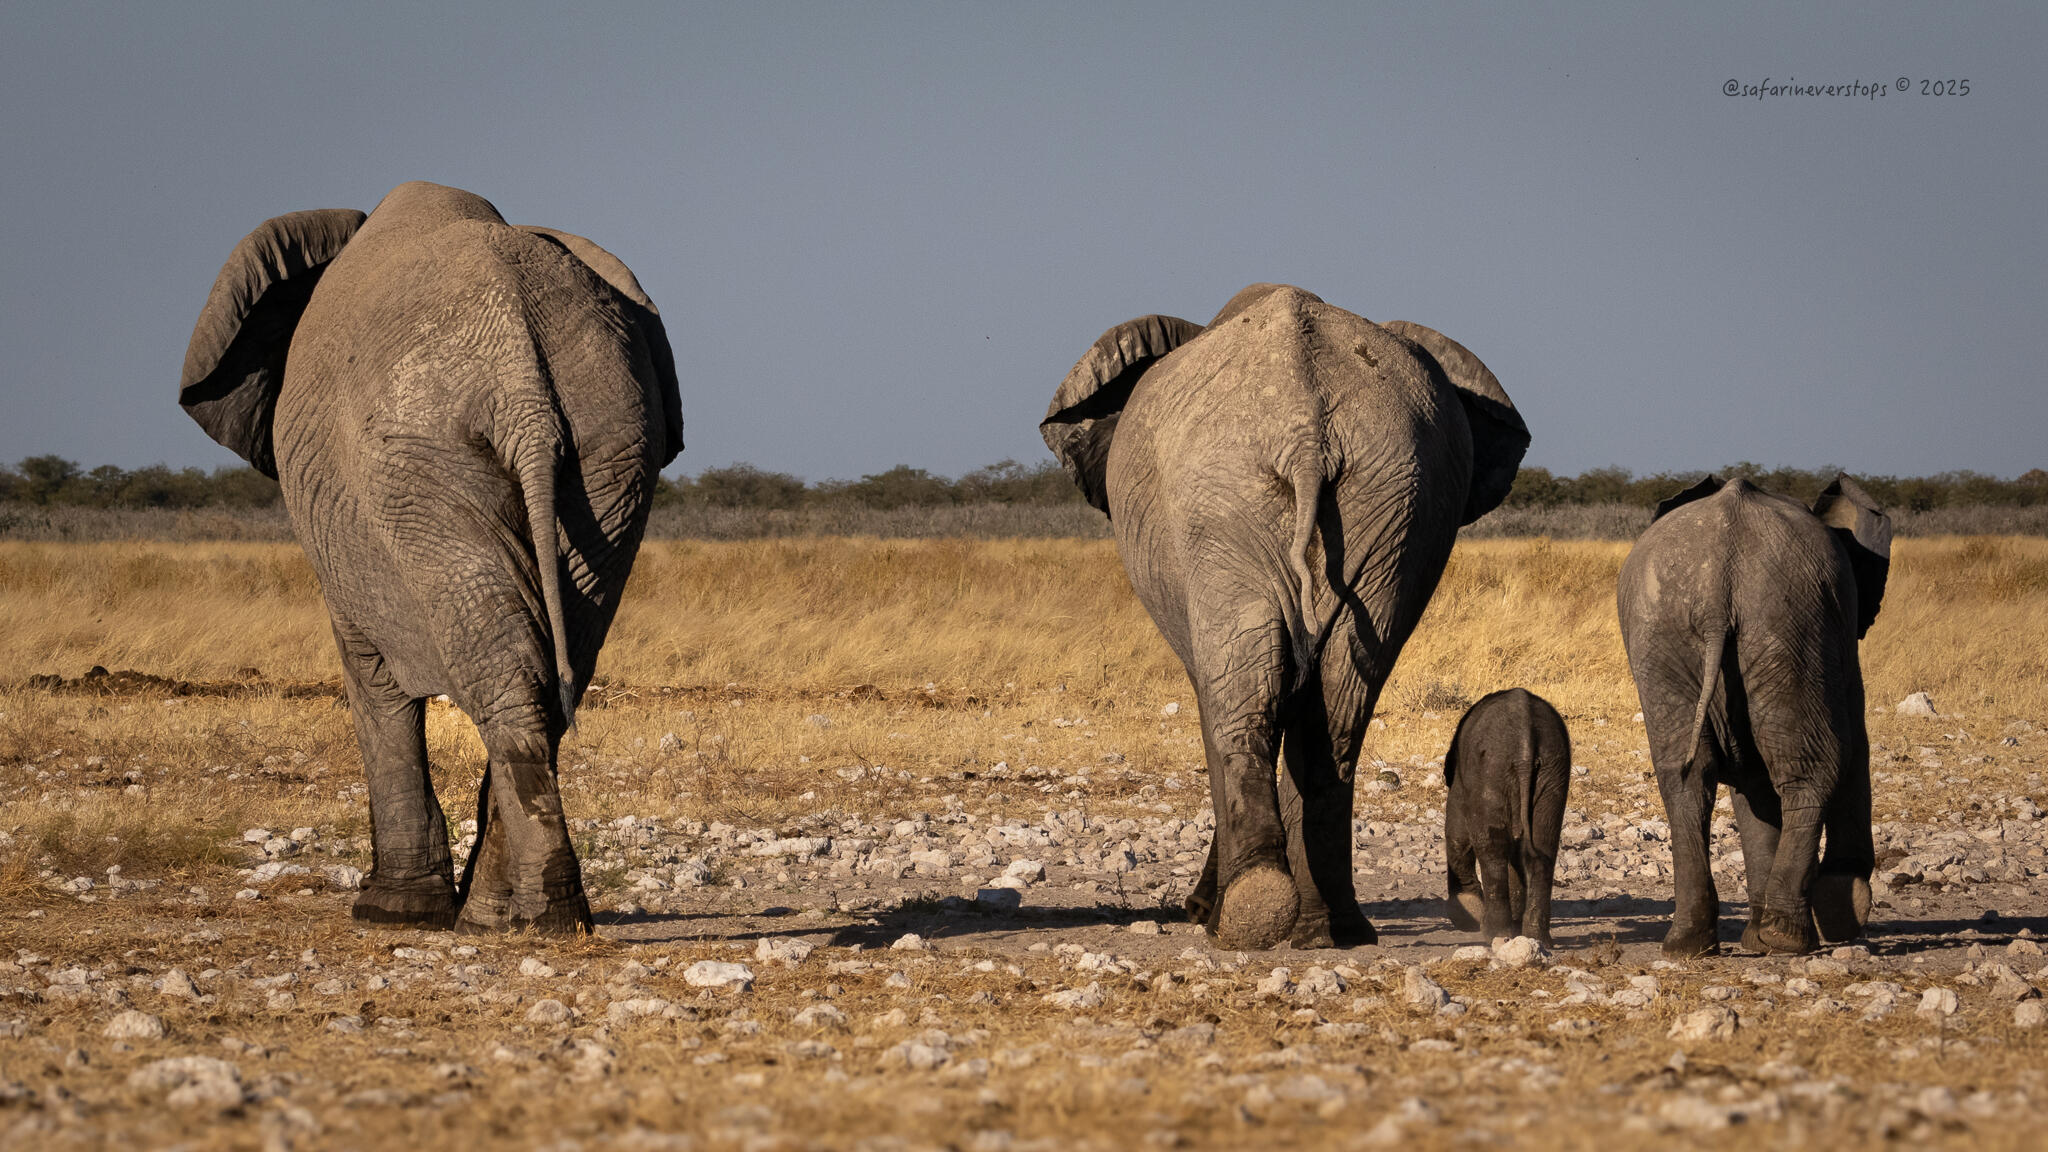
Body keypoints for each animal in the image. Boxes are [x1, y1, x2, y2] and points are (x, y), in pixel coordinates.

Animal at [178, 181, 683, 934]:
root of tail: (524, 388)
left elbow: (372, 676)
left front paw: (390, 912)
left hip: (414, 460)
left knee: (500, 665)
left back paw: (520, 916)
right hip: (613, 446)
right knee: (552, 665)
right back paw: (515, 914)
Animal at [1041, 284, 1530, 949]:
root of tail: (1307, 432)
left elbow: (1213, 703)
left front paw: (1204, 912)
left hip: (1222, 506)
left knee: (1244, 696)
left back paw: (1246, 917)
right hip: (1393, 503)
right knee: (1340, 706)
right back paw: (1328, 929)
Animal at [1443, 688, 1571, 946]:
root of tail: (1524, 750)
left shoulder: (1464, 778)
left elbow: (1458, 832)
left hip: (1491, 769)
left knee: (1492, 846)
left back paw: (1496, 933)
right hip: (1552, 770)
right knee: (1543, 845)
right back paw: (1537, 938)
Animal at [1616, 474, 1890, 956]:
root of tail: (1715, 587)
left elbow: (1751, 787)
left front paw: (1754, 940)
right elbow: (1854, 741)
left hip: (1667, 633)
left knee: (1684, 777)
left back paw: (1689, 944)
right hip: (1789, 621)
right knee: (1810, 769)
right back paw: (1787, 939)